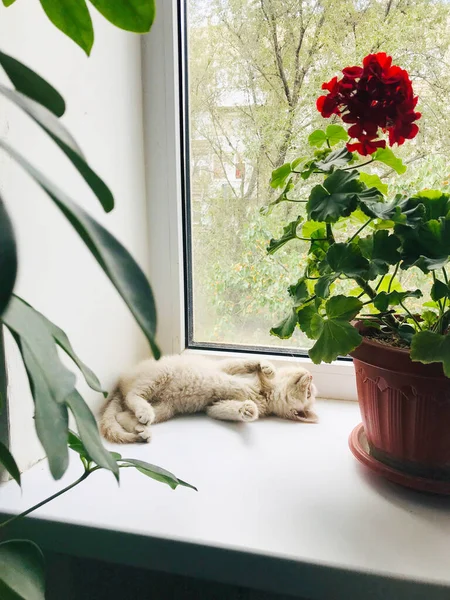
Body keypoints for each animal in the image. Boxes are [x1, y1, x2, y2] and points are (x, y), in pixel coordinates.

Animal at [100, 356, 318, 446]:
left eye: (309, 394)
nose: (311, 376)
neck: (264, 394)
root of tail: (120, 384)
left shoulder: (213, 406)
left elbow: (223, 409)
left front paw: (248, 410)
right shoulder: (223, 367)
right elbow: (241, 364)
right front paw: (267, 367)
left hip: (166, 408)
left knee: (122, 414)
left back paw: (142, 429)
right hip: (160, 374)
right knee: (133, 395)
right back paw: (143, 413)